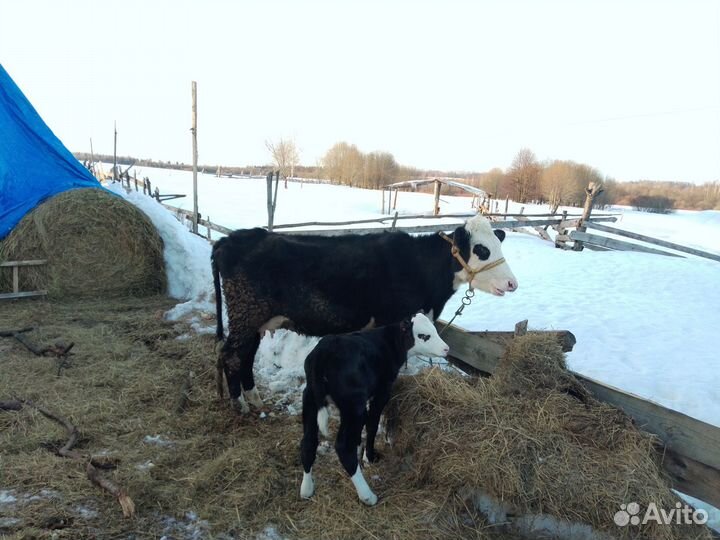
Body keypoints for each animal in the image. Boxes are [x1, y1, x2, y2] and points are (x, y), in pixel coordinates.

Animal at [212, 215, 517, 412]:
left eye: (499, 245)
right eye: (482, 250)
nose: (512, 283)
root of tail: (233, 238)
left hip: (255, 321)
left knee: (245, 355)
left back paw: (254, 400)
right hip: (245, 314)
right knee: (230, 355)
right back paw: (239, 405)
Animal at [299, 312, 449, 505]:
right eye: (424, 336)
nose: (446, 349)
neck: (389, 343)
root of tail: (323, 352)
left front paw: (360, 450)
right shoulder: (381, 392)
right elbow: (372, 424)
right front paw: (369, 457)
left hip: (310, 397)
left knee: (308, 442)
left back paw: (306, 489)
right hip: (353, 403)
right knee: (342, 446)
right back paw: (367, 495)